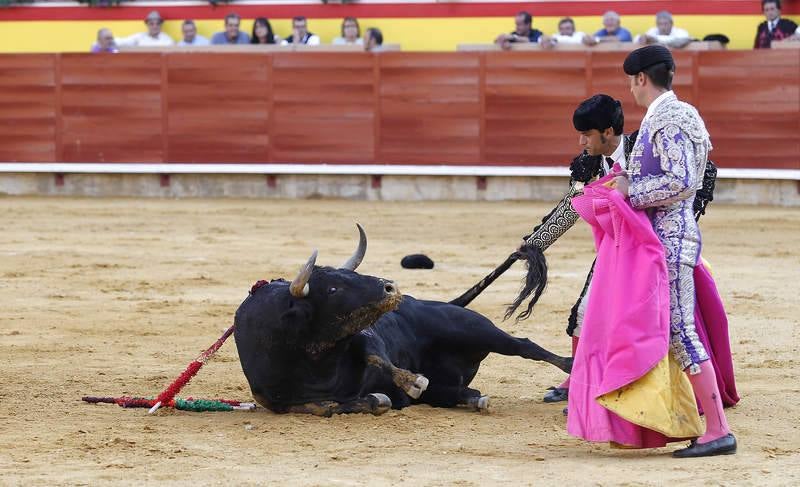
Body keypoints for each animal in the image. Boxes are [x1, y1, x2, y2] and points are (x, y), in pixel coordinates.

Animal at [234, 227, 572, 418]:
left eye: (349, 275)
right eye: (332, 289)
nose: (391, 288)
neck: (316, 359)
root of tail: (449, 304)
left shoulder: (365, 336)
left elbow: (377, 356)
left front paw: (411, 381)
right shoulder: (276, 401)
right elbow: (323, 406)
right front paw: (378, 398)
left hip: (476, 329)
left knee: (524, 346)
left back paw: (569, 367)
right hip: (452, 379)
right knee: (459, 391)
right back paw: (474, 399)